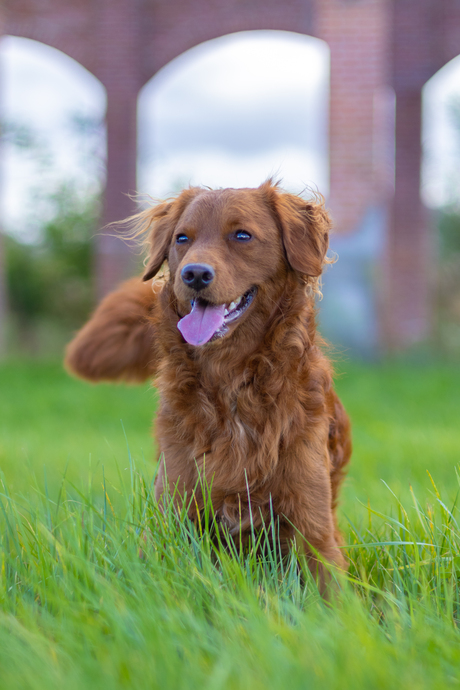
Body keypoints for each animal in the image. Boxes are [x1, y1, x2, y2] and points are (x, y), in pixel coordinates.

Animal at [65, 180, 352, 584]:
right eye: (182, 238)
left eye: (242, 235)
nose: (194, 274)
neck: (230, 382)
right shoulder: (170, 514)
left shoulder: (313, 528)